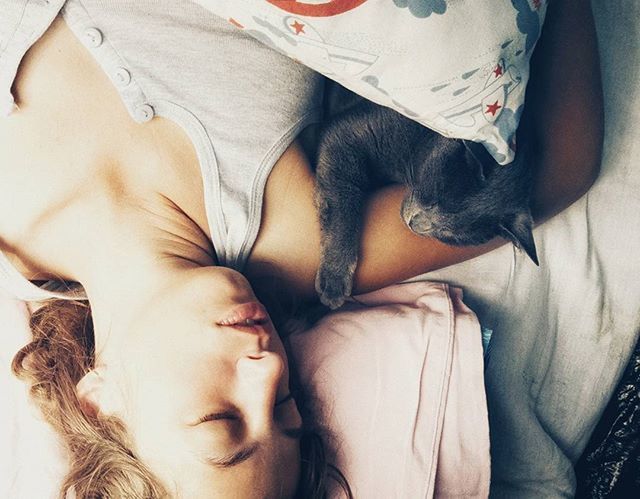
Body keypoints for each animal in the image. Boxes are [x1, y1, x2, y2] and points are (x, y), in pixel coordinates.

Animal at [312, 88, 536, 310]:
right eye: (433, 197)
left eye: (449, 233)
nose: (414, 224)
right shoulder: (346, 135)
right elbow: (344, 208)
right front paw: (335, 277)